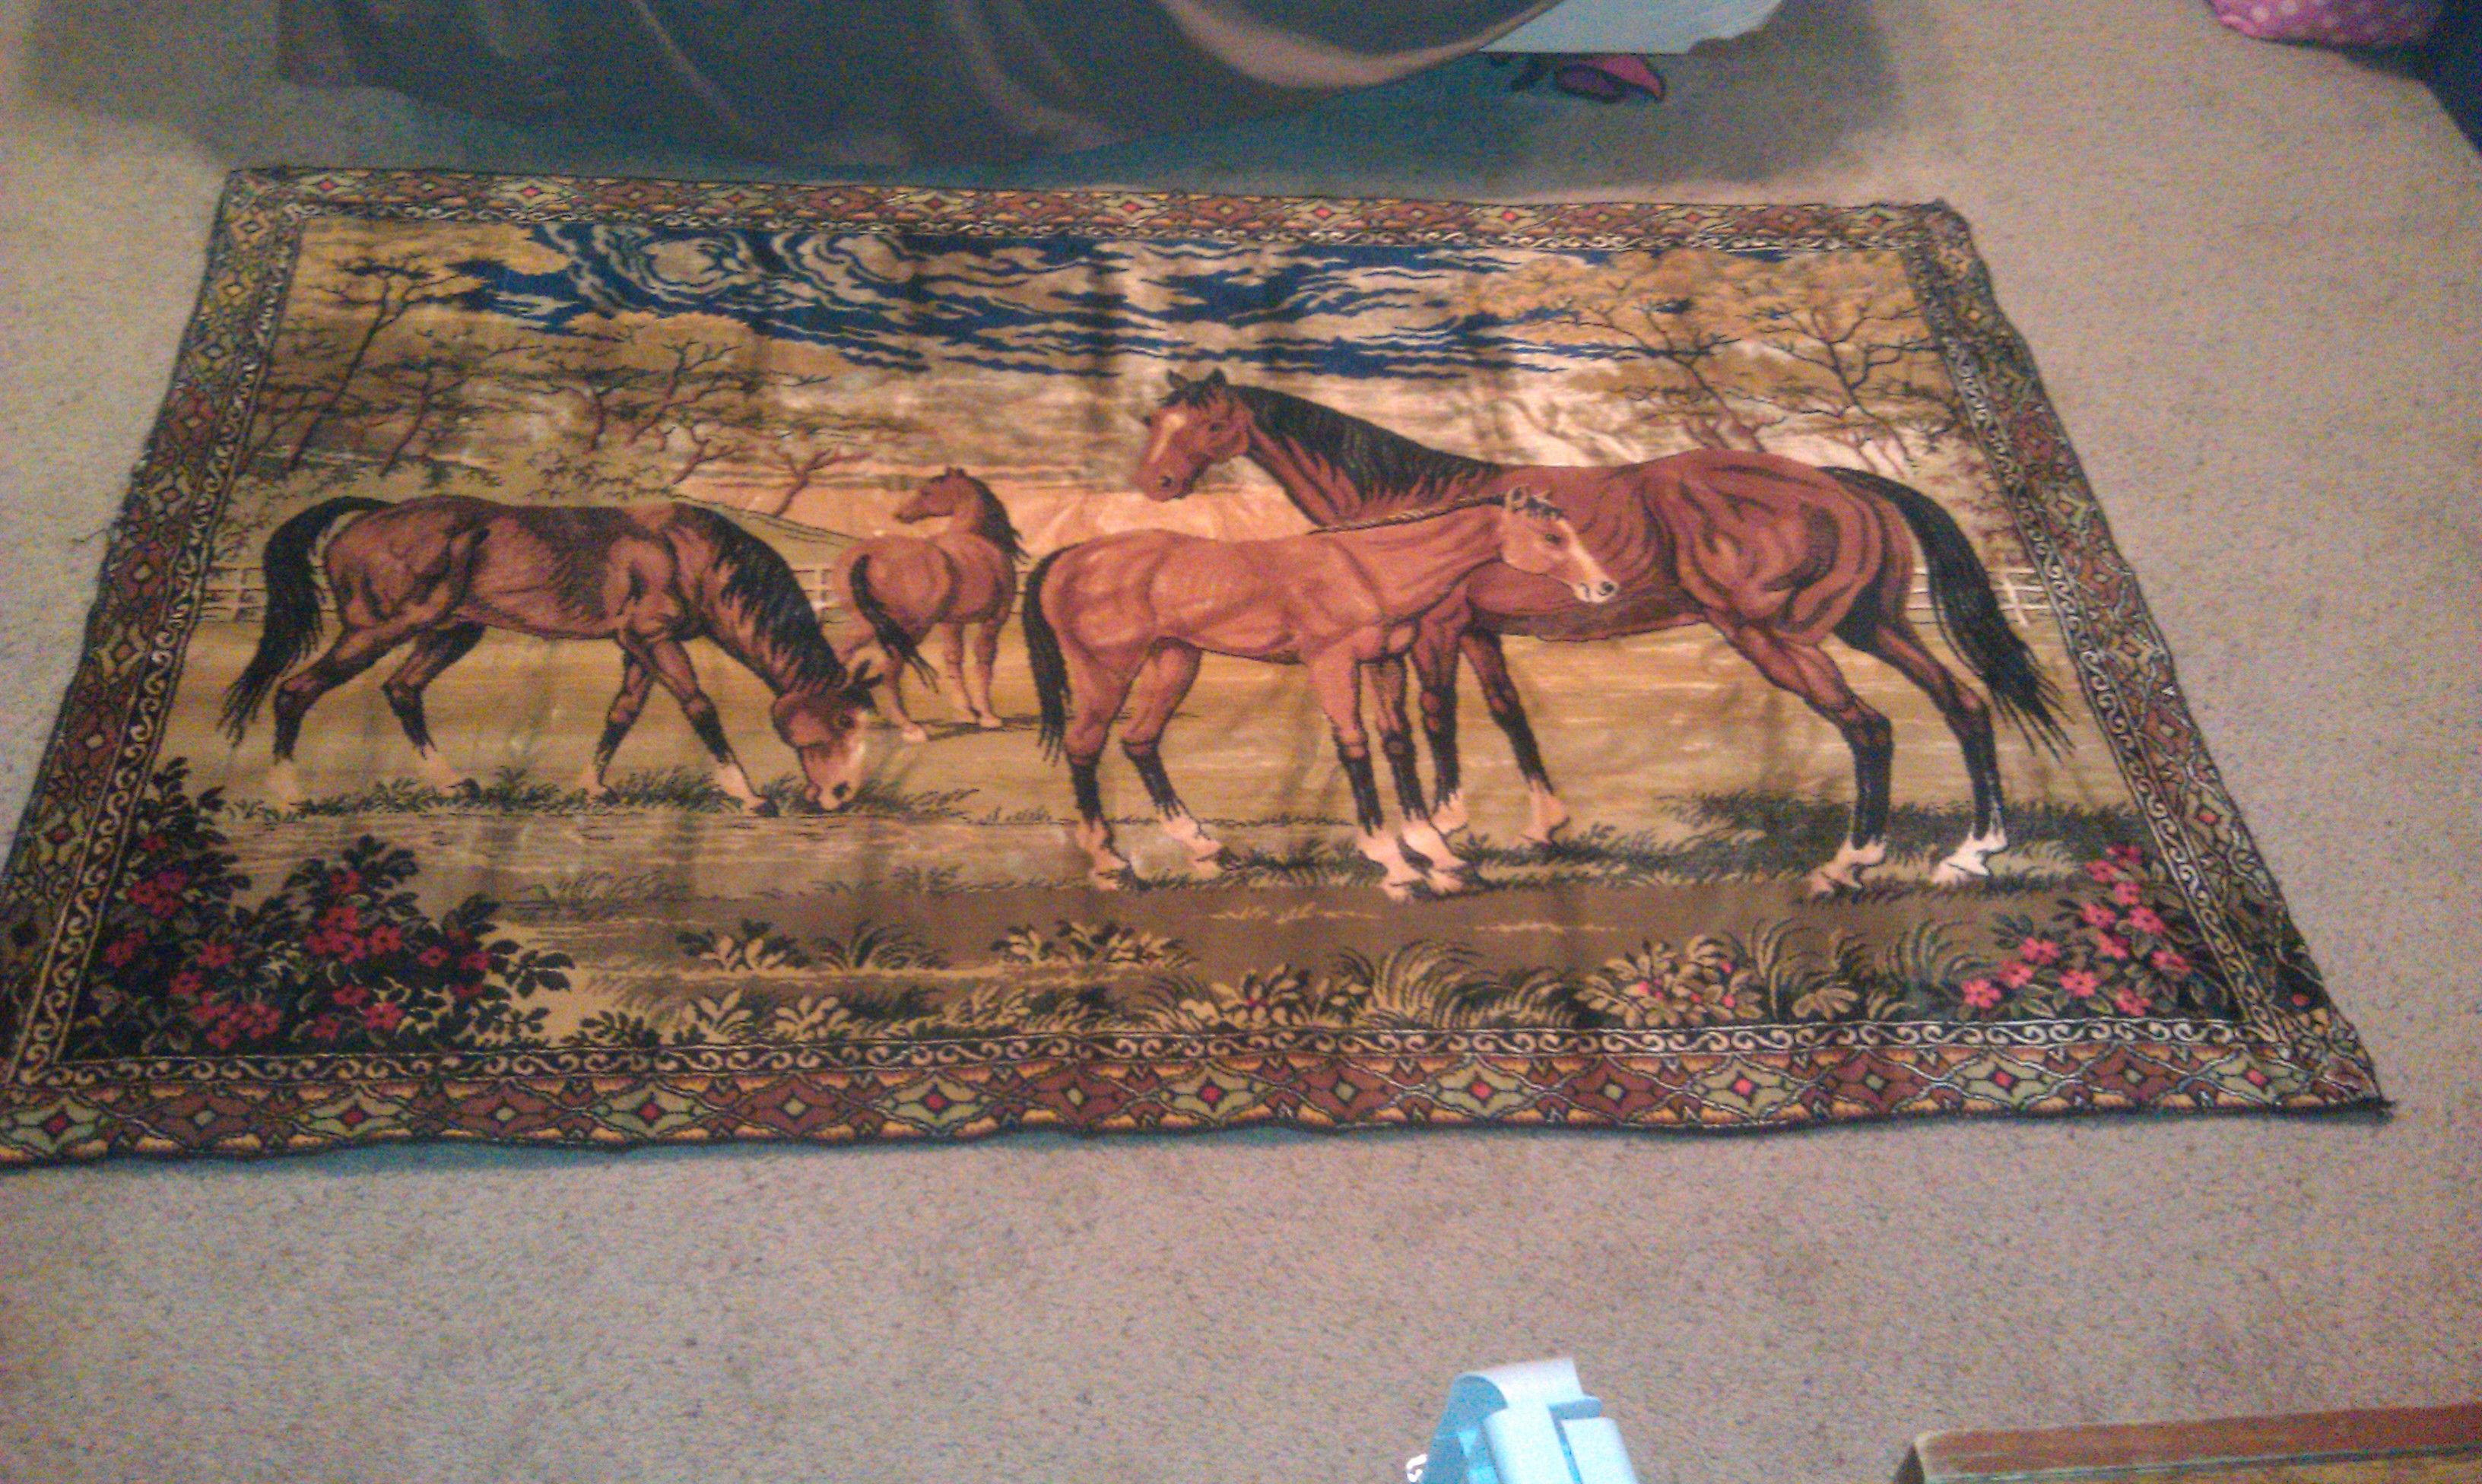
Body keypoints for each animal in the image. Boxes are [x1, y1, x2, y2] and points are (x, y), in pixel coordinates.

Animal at [218, 495, 916, 814]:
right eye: (843, 719)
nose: (840, 793)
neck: (689, 554)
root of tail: (373, 515)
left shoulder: (636, 647)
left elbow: (621, 715)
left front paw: (591, 787)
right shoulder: (655, 640)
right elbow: (699, 708)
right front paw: (746, 794)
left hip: (450, 633)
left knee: (402, 692)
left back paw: (451, 783)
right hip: (374, 632)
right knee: (295, 692)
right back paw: (289, 796)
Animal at [829, 468, 1023, 743]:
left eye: (927, 491)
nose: (899, 514)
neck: (978, 540)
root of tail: (868, 555)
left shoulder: (952, 623)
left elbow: (953, 658)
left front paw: (966, 712)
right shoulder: (995, 619)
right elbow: (984, 660)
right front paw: (988, 715)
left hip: (864, 625)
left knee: (842, 655)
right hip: (908, 630)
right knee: (890, 670)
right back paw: (910, 728)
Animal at [1021, 488, 1620, 900]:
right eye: (1552, 538)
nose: (1604, 587)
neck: (1369, 570)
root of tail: (1071, 557)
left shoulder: (1384, 663)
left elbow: (1398, 744)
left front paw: (1436, 853)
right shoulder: (1332, 664)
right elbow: (1354, 747)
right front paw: (1393, 862)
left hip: (1175, 661)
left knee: (1139, 742)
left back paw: (1203, 848)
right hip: (1107, 671)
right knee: (1083, 745)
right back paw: (1108, 863)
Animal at [1135, 370, 2069, 895]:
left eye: (1205, 424)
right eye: (1155, 421)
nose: (1155, 485)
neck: (1412, 501)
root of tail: (1839, 481)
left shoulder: (1434, 631)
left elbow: (1428, 721)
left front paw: (1445, 831)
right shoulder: (1481, 633)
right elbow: (1507, 713)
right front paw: (1542, 822)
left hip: (1775, 636)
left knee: (1869, 728)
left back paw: (1847, 865)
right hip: (1872, 625)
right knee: (1964, 705)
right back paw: (1971, 854)